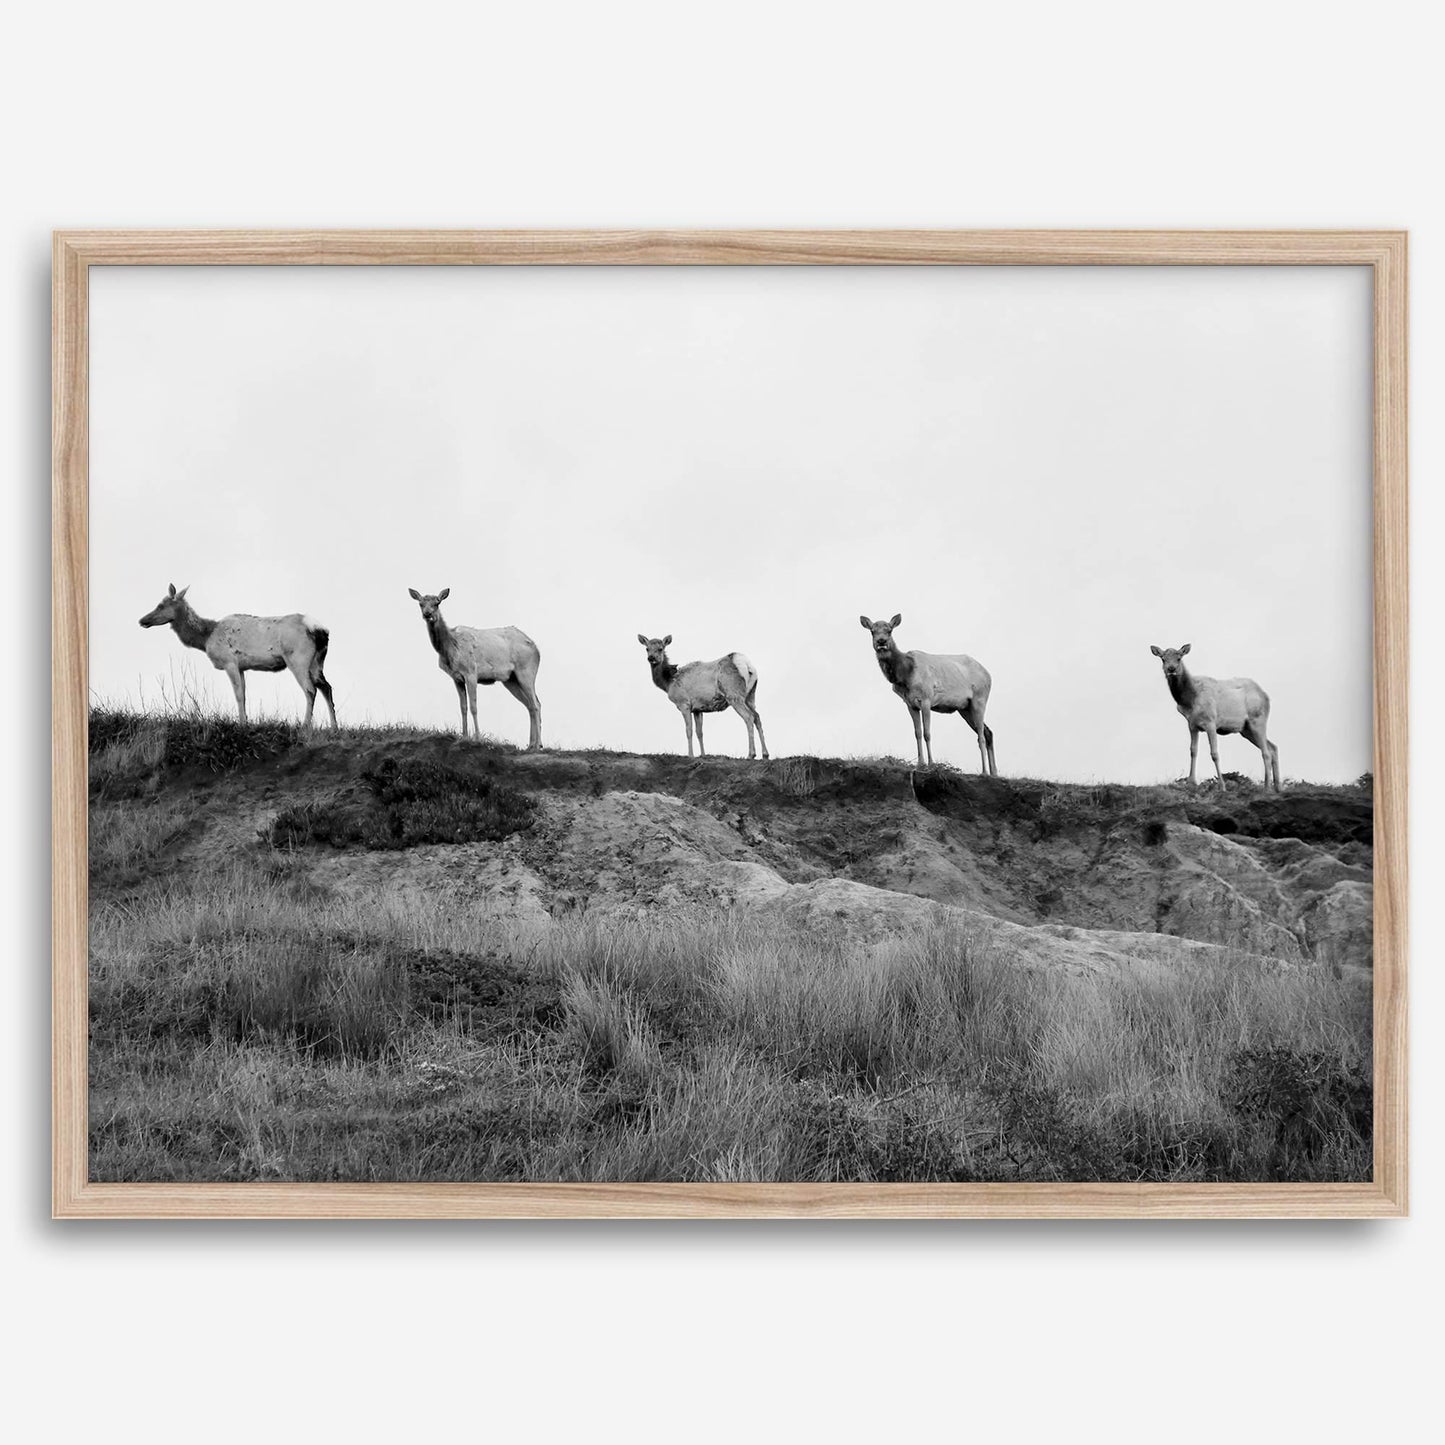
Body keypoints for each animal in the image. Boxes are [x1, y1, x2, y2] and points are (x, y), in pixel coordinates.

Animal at [138, 583, 338, 729]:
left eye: (160, 605)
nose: (142, 620)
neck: (206, 638)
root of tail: (320, 630)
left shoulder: (230, 662)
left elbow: (238, 695)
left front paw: (242, 724)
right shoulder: (242, 666)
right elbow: (245, 694)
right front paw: (246, 721)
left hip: (298, 658)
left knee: (310, 689)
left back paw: (305, 726)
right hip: (317, 662)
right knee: (326, 687)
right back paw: (334, 727)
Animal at [409, 588, 543, 748]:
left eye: (437, 603)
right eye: (421, 604)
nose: (427, 614)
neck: (450, 651)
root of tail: (537, 650)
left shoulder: (471, 672)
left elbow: (474, 707)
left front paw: (477, 738)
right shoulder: (456, 678)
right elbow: (463, 707)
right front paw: (464, 736)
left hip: (526, 671)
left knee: (536, 704)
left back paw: (538, 744)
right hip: (510, 680)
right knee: (530, 705)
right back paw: (531, 744)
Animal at [637, 634, 769, 760]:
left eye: (660, 648)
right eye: (647, 648)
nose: (651, 658)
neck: (668, 683)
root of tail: (747, 665)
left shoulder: (683, 703)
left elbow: (688, 730)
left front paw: (690, 755)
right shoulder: (697, 708)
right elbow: (699, 732)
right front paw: (703, 754)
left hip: (733, 694)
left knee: (749, 717)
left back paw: (751, 754)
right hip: (750, 695)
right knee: (757, 716)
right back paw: (765, 754)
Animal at [861, 613, 996, 774]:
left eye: (889, 630)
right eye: (872, 631)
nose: (881, 641)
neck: (905, 676)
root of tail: (989, 675)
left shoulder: (926, 698)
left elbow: (927, 733)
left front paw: (931, 764)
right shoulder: (910, 704)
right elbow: (917, 733)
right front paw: (920, 763)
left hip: (979, 699)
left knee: (981, 736)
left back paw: (985, 771)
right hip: (964, 708)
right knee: (988, 732)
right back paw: (994, 772)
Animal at [1150, 643, 1280, 791]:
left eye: (1179, 658)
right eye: (1163, 659)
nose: (1171, 669)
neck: (1189, 700)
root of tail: (1266, 696)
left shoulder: (1211, 722)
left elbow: (1214, 754)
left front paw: (1222, 786)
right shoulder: (1192, 724)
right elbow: (1193, 750)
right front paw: (1191, 782)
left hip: (1257, 719)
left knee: (1266, 752)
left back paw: (1267, 787)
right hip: (1245, 729)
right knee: (1273, 747)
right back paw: (1278, 787)